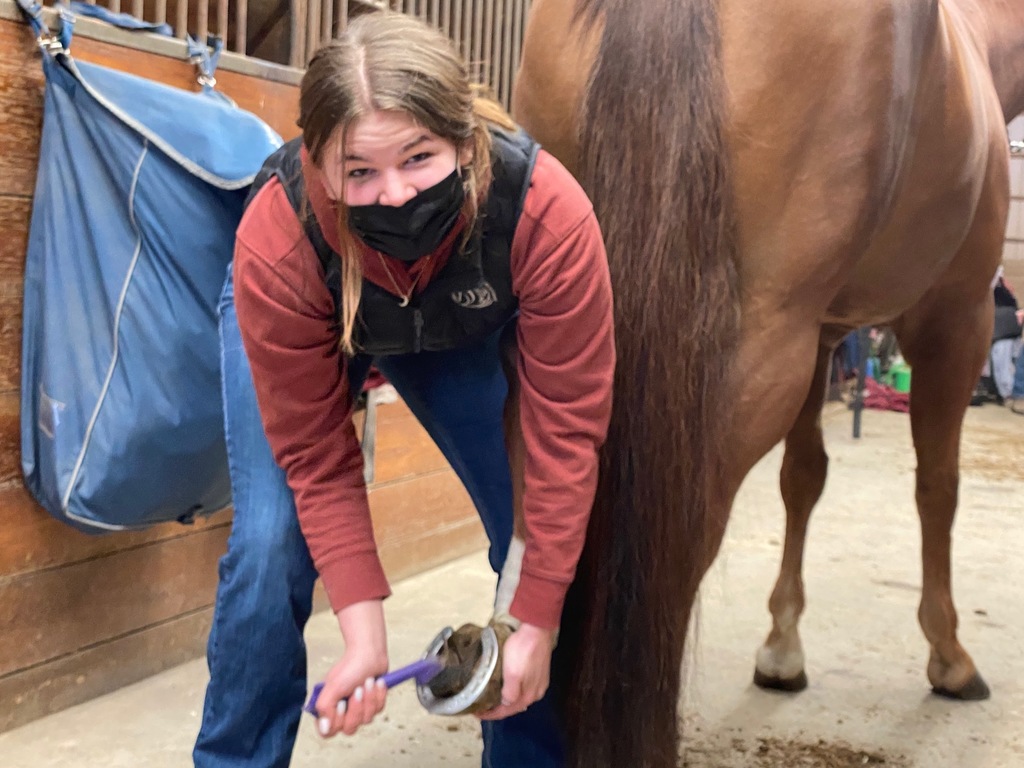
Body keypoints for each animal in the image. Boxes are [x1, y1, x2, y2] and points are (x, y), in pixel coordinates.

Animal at [516, 1, 1024, 768]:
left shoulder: (824, 336)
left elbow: (803, 477)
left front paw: (782, 648)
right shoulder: (956, 319)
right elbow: (938, 486)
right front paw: (950, 657)